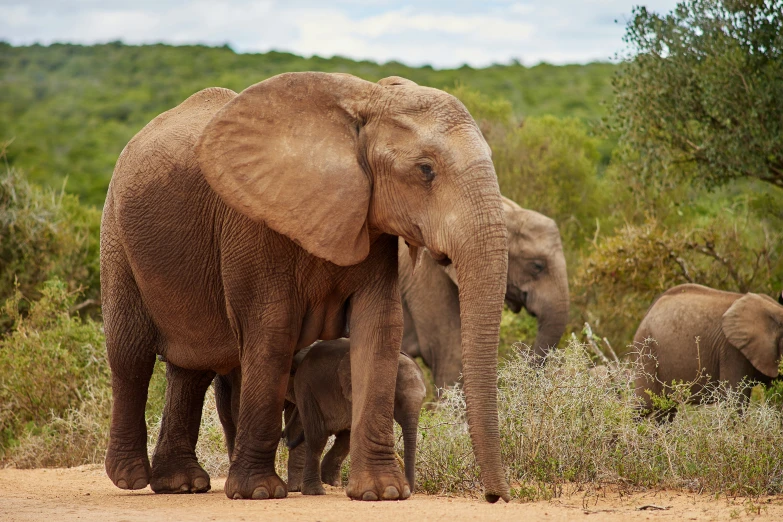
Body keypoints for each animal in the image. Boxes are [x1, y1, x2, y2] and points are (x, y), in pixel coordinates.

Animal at [284, 340, 426, 494]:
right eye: (396, 400)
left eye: (424, 398)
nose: (410, 489)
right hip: (306, 389)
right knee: (317, 436)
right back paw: (315, 491)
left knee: (343, 437)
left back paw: (332, 484)